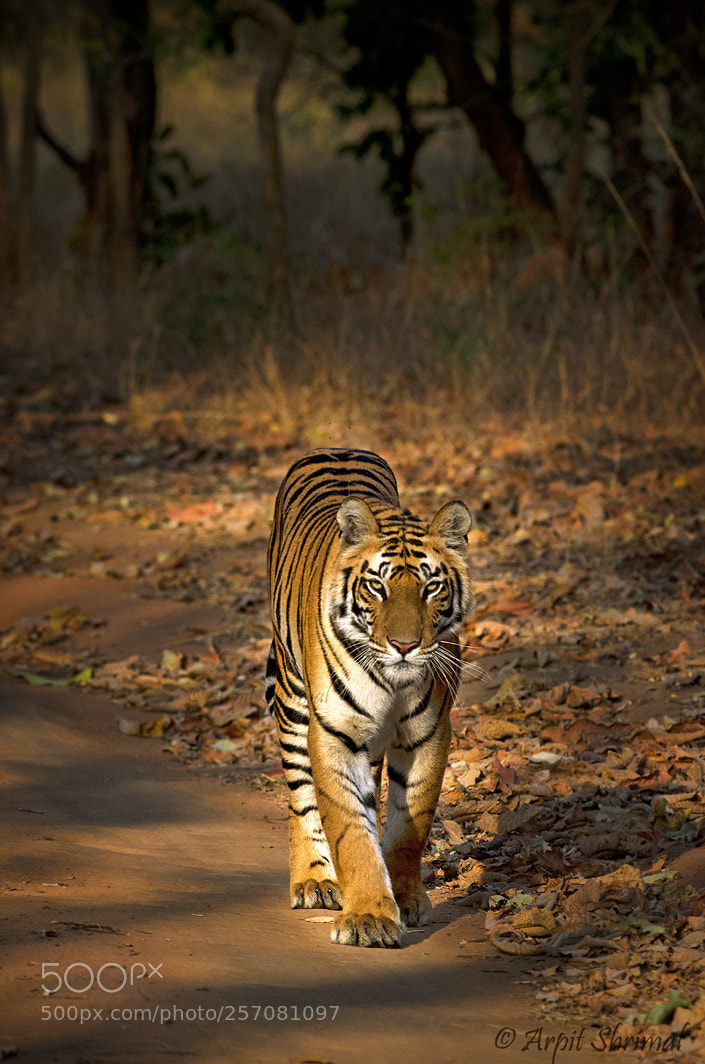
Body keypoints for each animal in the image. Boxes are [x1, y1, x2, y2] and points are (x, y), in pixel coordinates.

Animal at [266, 448, 473, 948]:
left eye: (432, 587)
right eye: (377, 586)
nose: (404, 645)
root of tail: (335, 447)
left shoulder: (427, 733)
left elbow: (408, 826)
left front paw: (407, 900)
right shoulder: (336, 732)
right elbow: (349, 830)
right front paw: (368, 918)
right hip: (292, 700)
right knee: (301, 794)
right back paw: (314, 880)